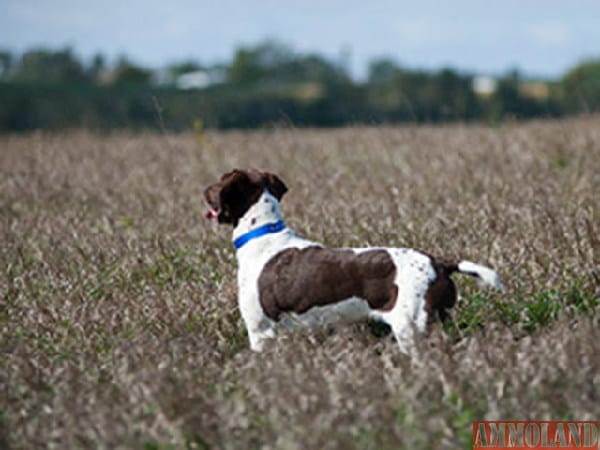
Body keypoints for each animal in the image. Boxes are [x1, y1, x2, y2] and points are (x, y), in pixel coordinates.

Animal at [206, 169, 502, 356]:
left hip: (413, 329)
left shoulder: (260, 332)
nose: (204, 189)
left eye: (220, 181)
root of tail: (439, 263)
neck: (263, 234)